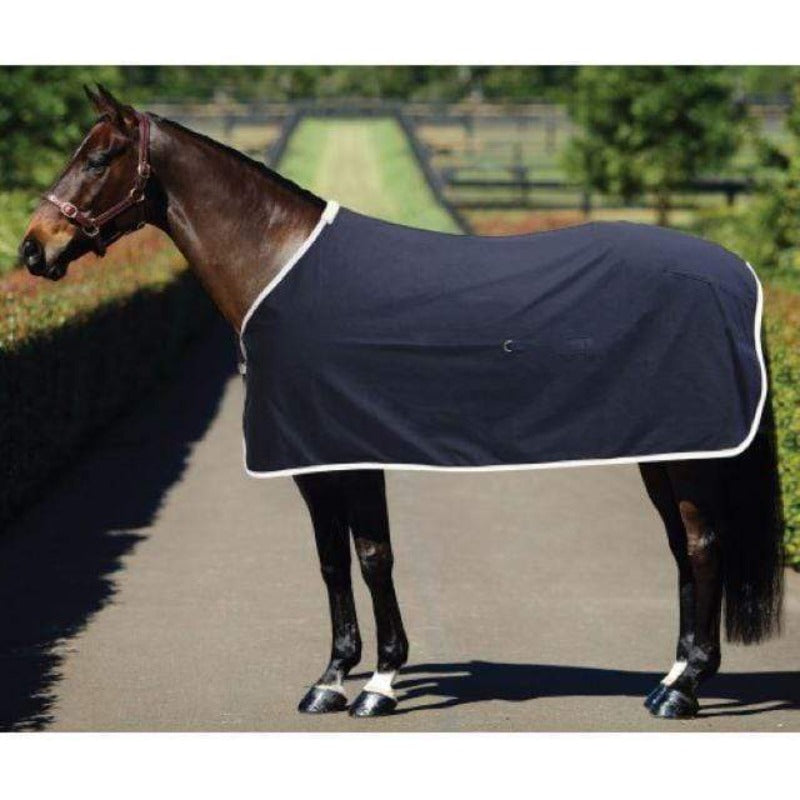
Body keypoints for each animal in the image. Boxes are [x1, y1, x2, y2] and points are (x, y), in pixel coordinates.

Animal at [19, 86, 785, 720]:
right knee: (682, 548)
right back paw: (672, 675)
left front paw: (380, 684)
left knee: (703, 544)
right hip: (664, 449)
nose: (33, 249)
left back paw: (684, 691)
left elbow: (372, 557)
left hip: (689, 453)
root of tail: (737, 272)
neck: (280, 268)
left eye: (100, 157)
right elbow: (332, 562)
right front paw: (331, 679)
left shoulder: (351, 454)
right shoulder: (313, 461)